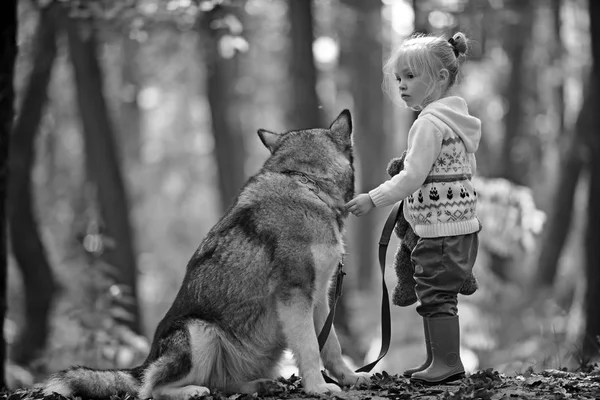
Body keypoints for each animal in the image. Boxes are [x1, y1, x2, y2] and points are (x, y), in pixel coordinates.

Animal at [41, 111, 370, 400]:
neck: (306, 183)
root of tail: (144, 362)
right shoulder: (295, 295)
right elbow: (310, 348)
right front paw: (318, 387)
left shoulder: (319, 297)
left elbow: (332, 346)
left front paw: (350, 378)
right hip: (201, 331)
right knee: (152, 389)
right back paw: (192, 391)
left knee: (221, 384)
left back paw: (260, 385)